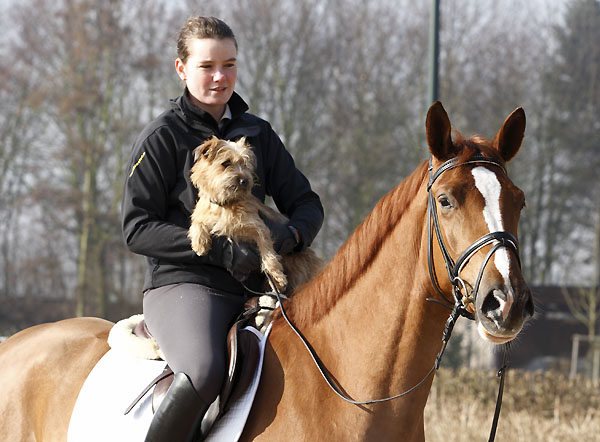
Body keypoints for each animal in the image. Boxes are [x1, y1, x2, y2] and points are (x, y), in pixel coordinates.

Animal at [189, 136, 324, 294]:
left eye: (245, 164)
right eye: (226, 163)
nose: (244, 180)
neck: (226, 204)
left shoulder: (260, 229)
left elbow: (268, 254)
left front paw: (277, 277)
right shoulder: (203, 214)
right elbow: (196, 223)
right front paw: (199, 244)